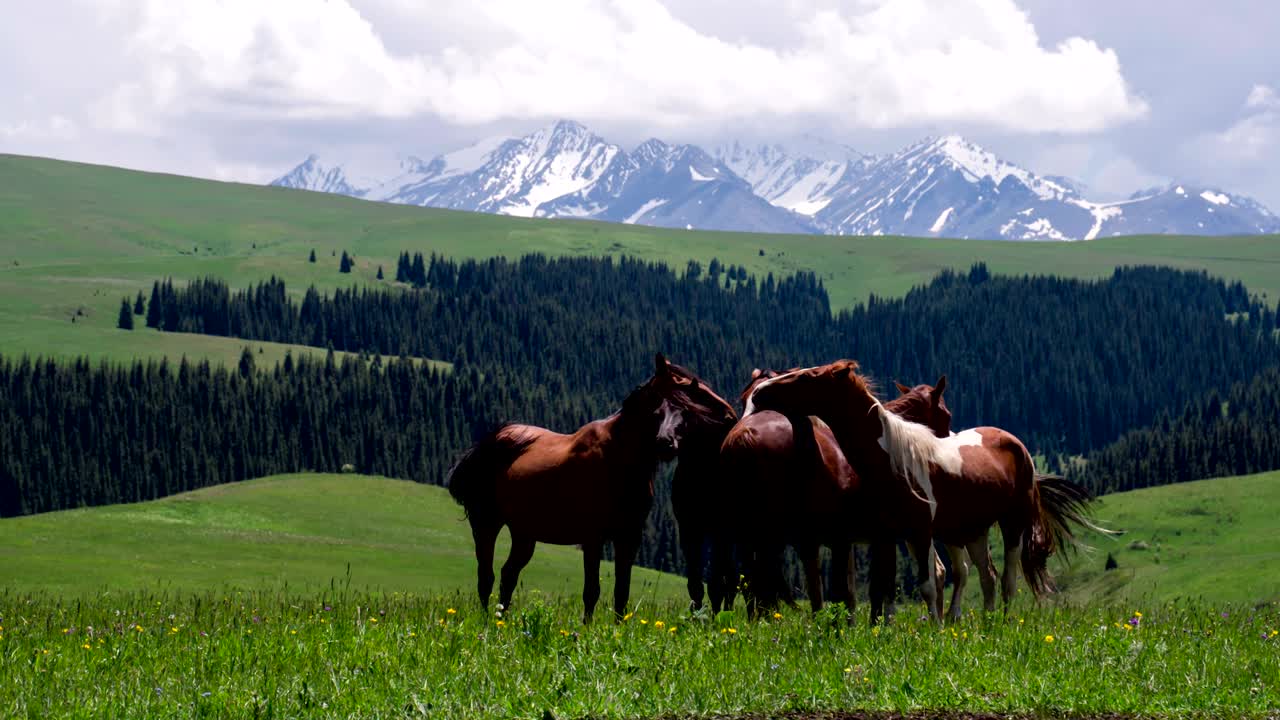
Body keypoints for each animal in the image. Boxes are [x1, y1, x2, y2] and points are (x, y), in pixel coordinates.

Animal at [447, 353, 729, 623]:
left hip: (524, 534)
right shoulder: (593, 537)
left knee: (508, 574)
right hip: (486, 523)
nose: (666, 443)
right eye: (656, 409)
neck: (619, 458)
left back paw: (500, 619)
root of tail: (489, 442)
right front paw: (587, 629)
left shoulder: (629, 537)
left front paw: (618, 630)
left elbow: (621, 592)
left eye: (687, 411)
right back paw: (487, 623)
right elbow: (592, 590)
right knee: (486, 576)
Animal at [723, 369, 952, 622]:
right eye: (946, 415)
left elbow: (847, 592)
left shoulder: (843, 540)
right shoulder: (875, 536)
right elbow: (875, 587)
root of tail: (745, 436)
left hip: (751, 534)